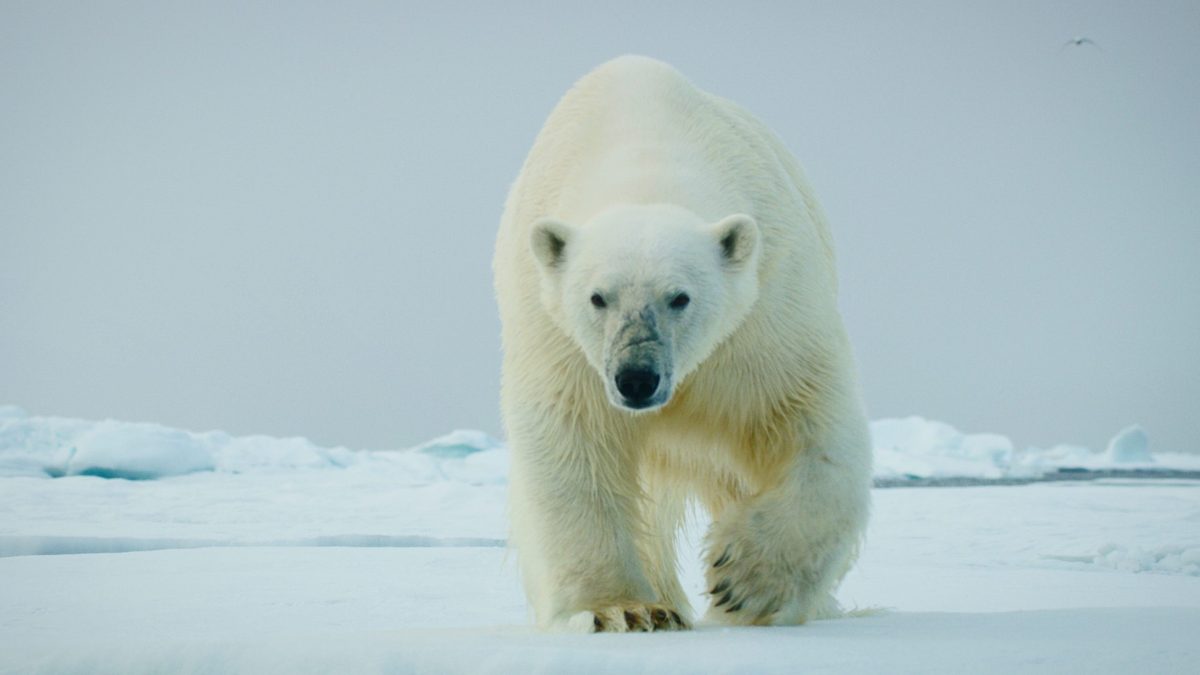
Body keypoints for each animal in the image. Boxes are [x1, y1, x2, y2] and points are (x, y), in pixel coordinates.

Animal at [493, 55, 872, 632]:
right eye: (597, 297)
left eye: (680, 297)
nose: (636, 378)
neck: (645, 155)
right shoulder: (556, 338)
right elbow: (573, 440)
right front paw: (619, 609)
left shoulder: (765, 318)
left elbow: (811, 420)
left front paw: (744, 581)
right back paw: (663, 604)